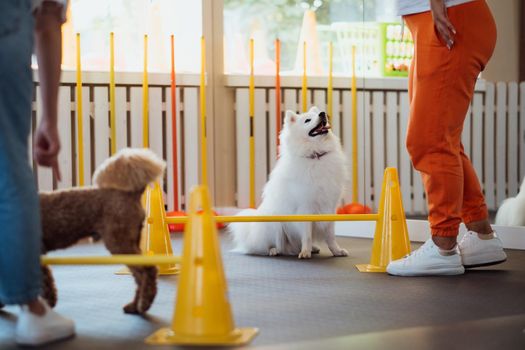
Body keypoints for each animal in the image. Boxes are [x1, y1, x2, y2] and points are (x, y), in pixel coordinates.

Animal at [229, 105, 348, 258]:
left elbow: (331, 236)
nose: (323, 114)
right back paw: (274, 250)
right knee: (270, 247)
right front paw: (305, 252)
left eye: (319, 114)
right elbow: (307, 235)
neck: (315, 156)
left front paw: (337, 251)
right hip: (275, 226)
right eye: (307, 120)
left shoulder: (330, 206)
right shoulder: (305, 207)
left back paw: (312, 248)